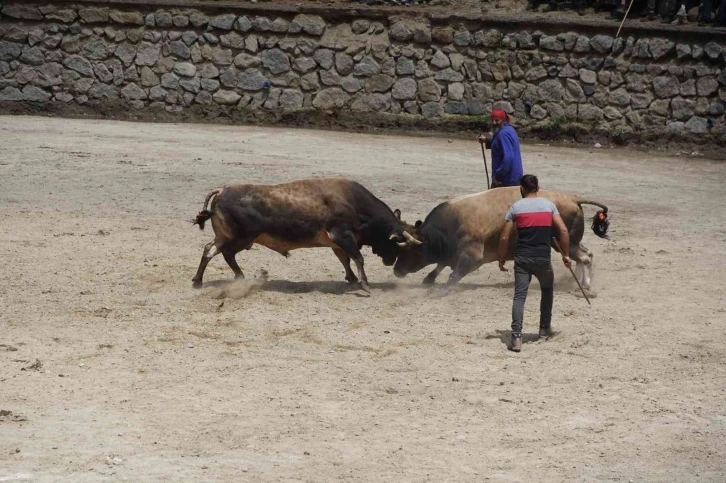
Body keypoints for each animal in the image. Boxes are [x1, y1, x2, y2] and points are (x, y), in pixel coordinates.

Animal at [191, 178, 412, 292]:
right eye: (397, 242)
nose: (390, 261)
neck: (355, 202)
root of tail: (222, 190)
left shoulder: (337, 241)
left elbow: (345, 259)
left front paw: (351, 278)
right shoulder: (342, 235)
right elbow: (357, 257)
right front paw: (364, 284)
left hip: (224, 236)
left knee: (209, 250)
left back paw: (198, 280)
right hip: (242, 238)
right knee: (227, 253)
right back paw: (240, 278)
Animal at [392, 187, 608, 290]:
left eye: (409, 250)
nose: (396, 271)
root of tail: (573, 199)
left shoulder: (473, 256)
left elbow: (454, 273)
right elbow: (440, 265)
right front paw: (429, 279)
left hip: (565, 243)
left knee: (585, 258)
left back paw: (586, 285)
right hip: (571, 242)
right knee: (586, 255)